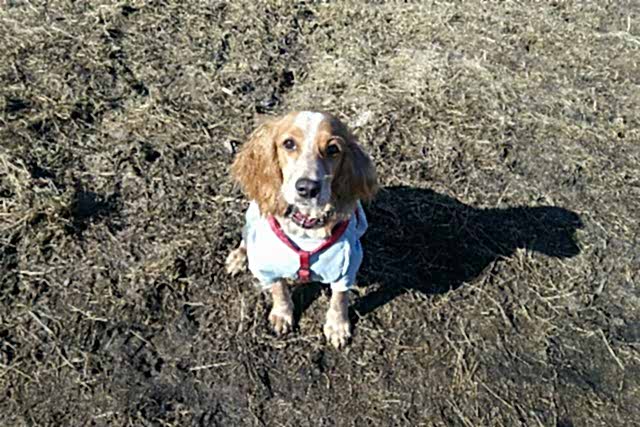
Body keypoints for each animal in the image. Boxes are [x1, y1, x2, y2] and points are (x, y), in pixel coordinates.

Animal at [225, 111, 378, 348]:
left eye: (333, 149)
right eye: (289, 144)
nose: (307, 188)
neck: (306, 227)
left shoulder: (348, 267)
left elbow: (339, 297)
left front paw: (337, 326)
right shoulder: (268, 268)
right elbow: (279, 289)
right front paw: (282, 315)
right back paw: (238, 258)